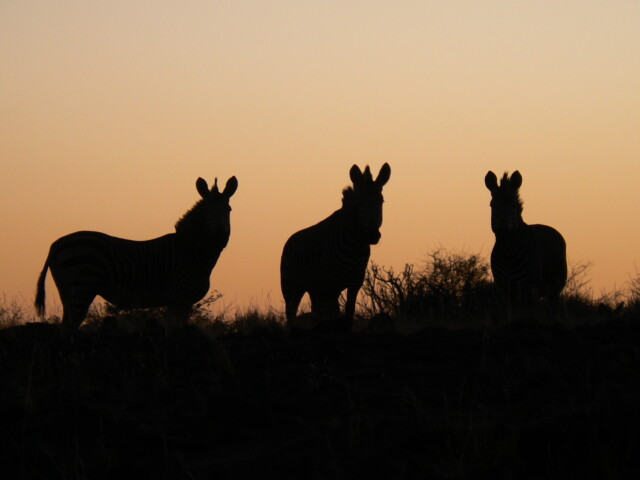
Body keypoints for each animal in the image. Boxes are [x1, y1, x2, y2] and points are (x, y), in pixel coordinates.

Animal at [33, 176, 238, 330]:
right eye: (208, 211)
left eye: (228, 209)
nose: (220, 236)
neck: (191, 250)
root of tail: (56, 244)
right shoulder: (181, 296)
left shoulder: (176, 301)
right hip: (81, 286)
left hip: (68, 290)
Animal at [282, 163, 392, 328]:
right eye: (360, 203)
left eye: (381, 201)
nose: (372, 235)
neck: (356, 246)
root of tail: (290, 239)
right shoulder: (332, 282)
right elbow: (336, 314)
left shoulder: (356, 281)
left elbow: (349, 311)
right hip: (291, 287)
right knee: (291, 316)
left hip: (315, 289)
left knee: (316, 314)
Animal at [482, 172, 568, 304]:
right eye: (492, 205)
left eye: (514, 205)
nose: (503, 231)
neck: (507, 251)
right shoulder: (502, 287)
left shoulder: (530, 288)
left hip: (554, 289)